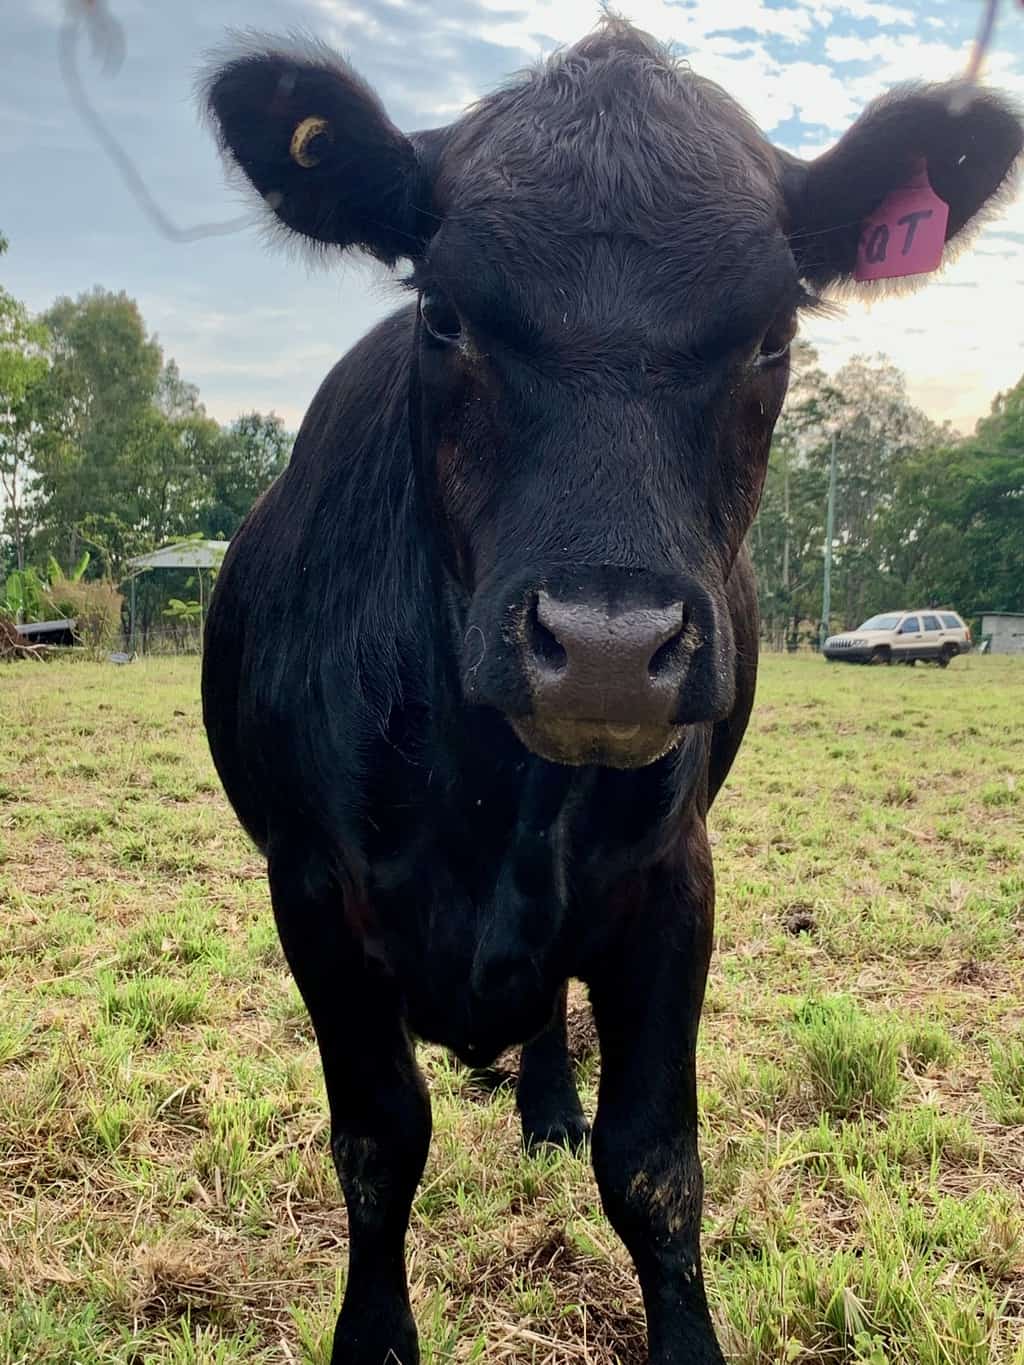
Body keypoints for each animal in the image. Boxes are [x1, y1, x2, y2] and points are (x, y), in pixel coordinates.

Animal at [200, 19, 1021, 1364]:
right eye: (443, 313)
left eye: (773, 333)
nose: (601, 643)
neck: (486, 803)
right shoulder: (311, 890)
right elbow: (377, 1142)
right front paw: (373, 1337)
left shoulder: (672, 885)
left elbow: (652, 1167)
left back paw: (545, 1109)